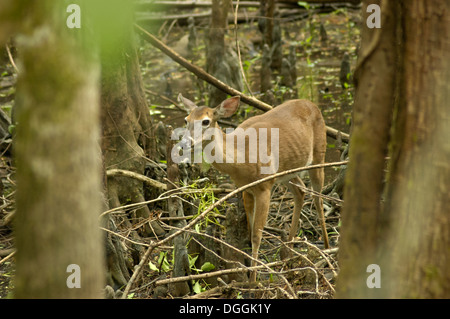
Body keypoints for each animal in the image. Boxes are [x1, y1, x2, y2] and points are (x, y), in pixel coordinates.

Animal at [178, 94, 328, 282]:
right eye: (186, 119)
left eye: (206, 121)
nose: (184, 143)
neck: (241, 157)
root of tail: (311, 104)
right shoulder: (245, 188)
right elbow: (249, 233)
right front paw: (248, 269)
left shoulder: (264, 187)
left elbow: (257, 235)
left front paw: (253, 280)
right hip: (286, 171)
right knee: (300, 190)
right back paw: (288, 251)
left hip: (319, 153)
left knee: (318, 197)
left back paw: (326, 247)